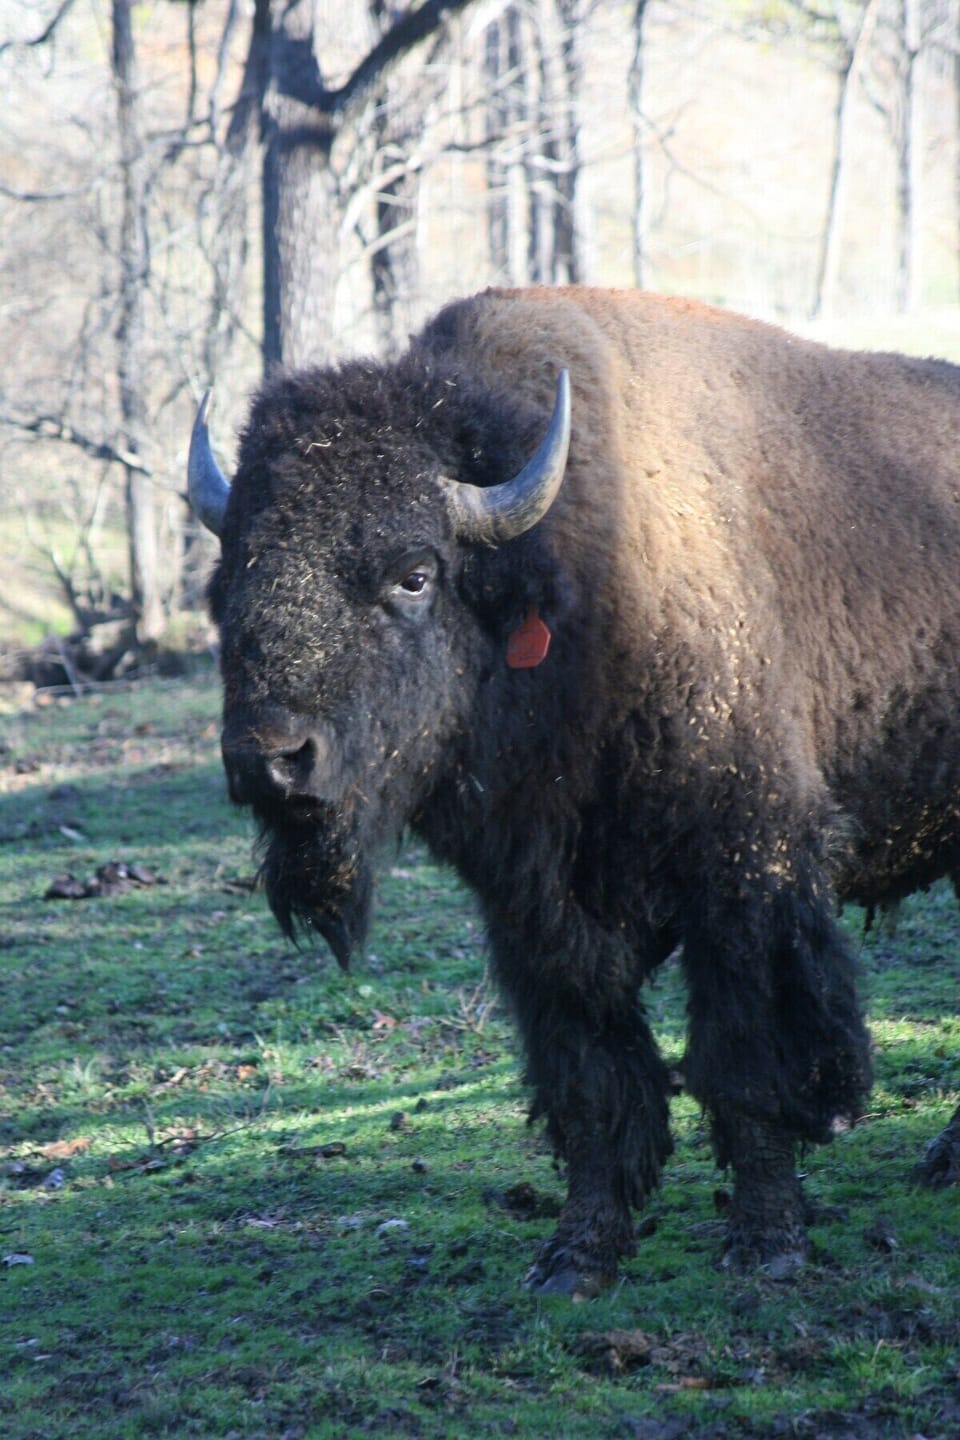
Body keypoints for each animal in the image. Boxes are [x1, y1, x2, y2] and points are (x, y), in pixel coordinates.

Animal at [189, 286, 960, 1296]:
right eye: (228, 580)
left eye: (415, 573)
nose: (270, 759)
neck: (575, 579)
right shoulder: (538, 916)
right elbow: (593, 1081)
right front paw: (576, 1257)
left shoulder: (746, 874)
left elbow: (747, 1063)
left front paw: (767, 1246)